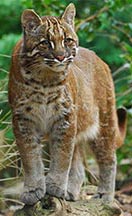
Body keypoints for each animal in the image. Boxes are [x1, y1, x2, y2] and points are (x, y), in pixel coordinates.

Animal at [8, 3, 127, 206]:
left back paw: (105, 196)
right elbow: (30, 158)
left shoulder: (65, 119)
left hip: (104, 125)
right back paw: (70, 192)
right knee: (79, 167)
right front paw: (33, 190)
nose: (61, 57)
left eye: (67, 40)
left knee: (109, 159)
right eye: (45, 42)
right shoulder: (23, 120)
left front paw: (55, 186)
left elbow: (62, 157)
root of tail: (99, 59)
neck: (44, 79)